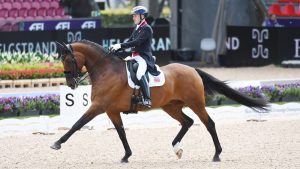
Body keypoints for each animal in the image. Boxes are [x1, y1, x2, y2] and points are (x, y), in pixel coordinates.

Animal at [50, 39, 268, 162]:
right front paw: (126, 155)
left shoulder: (99, 106)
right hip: (170, 107)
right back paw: (177, 148)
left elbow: (78, 124)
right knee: (187, 122)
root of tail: (192, 69)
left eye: (68, 60)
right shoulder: (112, 110)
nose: (71, 84)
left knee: (209, 124)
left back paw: (217, 154)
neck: (106, 70)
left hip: (196, 103)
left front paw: (57, 143)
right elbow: (121, 133)